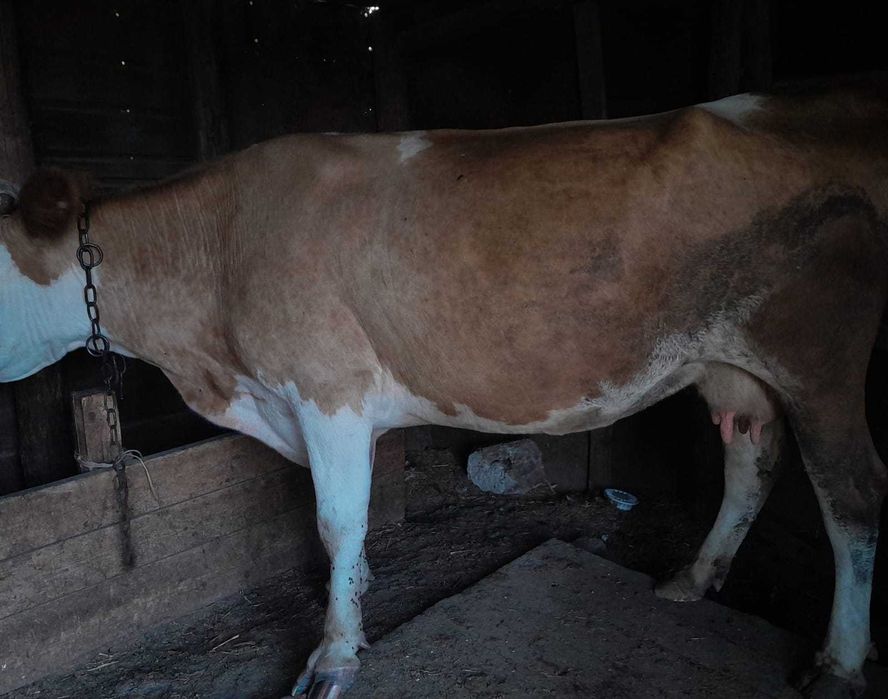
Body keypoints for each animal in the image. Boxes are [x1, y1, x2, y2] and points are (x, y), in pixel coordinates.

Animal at [1, 75, 887, 698]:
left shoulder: (329, 387)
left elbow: (335, 521)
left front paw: (332, 654)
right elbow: (352, 526)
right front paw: (357, 605)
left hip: (821, 363)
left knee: (854, 495)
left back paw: (839, 663)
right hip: (734, 368)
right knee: (751, 466)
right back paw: (692, 580)